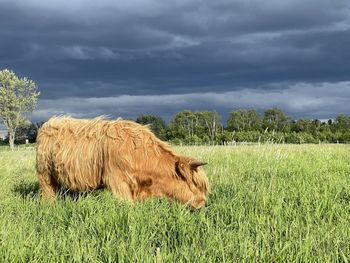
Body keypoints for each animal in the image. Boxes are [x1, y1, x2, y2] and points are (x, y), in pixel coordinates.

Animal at [36, 116, 209, 209]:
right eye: (196, 185)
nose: (202, 204)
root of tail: (48, 123)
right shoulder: (117, 180)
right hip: (44, 174)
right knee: (48, 192)